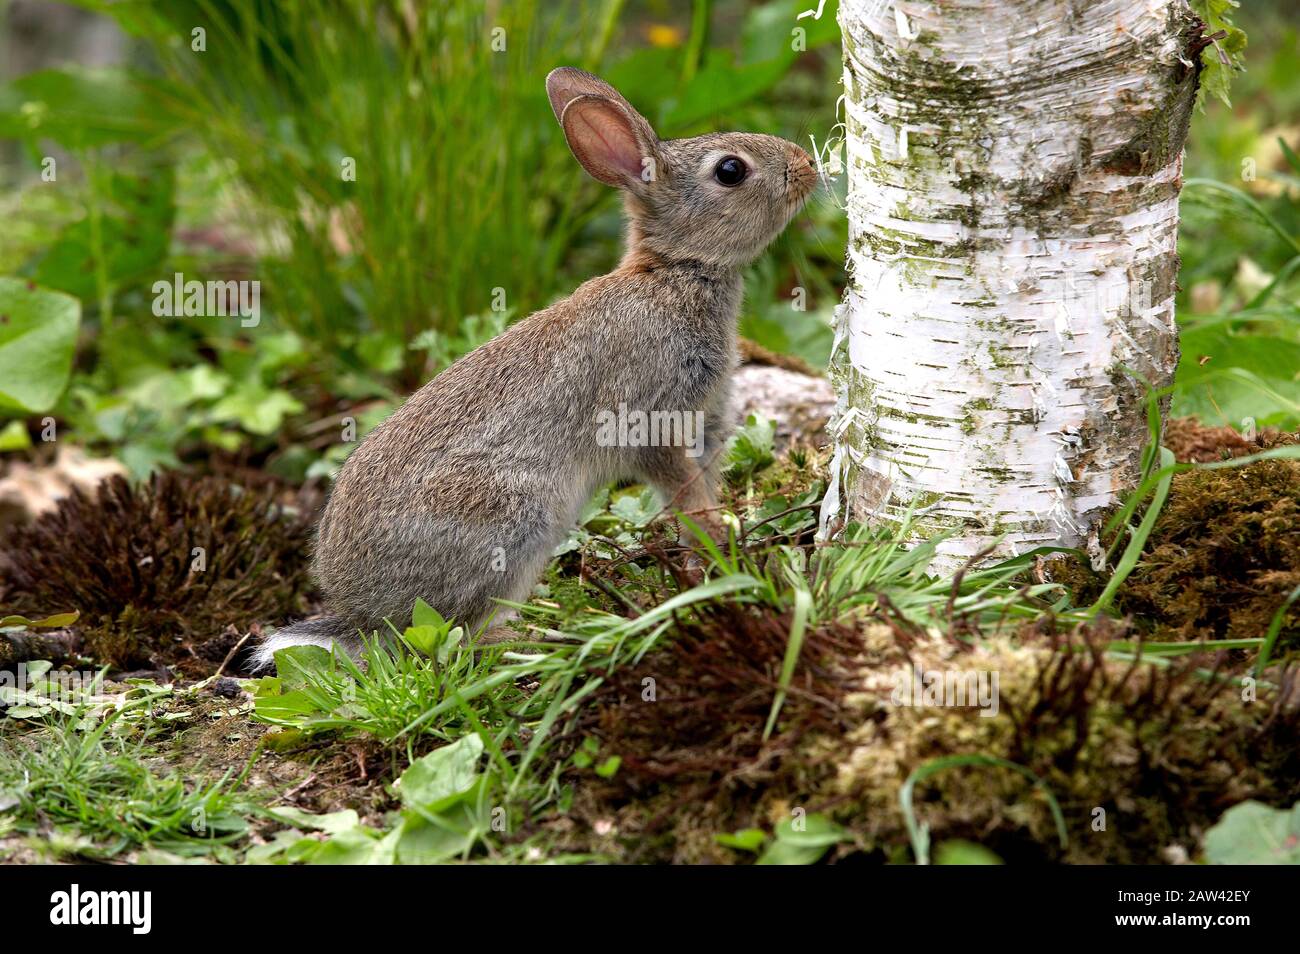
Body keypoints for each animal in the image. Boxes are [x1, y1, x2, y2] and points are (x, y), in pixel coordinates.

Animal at [249, 67, 817, 671]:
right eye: (730, 170)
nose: (807, 164)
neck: (675, 270)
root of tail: (360, 613)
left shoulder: (704, 424)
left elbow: (700, 487)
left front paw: (720, 547)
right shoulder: (651, 419)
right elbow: (683, 491)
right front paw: (716, 536)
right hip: (512, 519)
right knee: (450, 638)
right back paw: (537, 637)